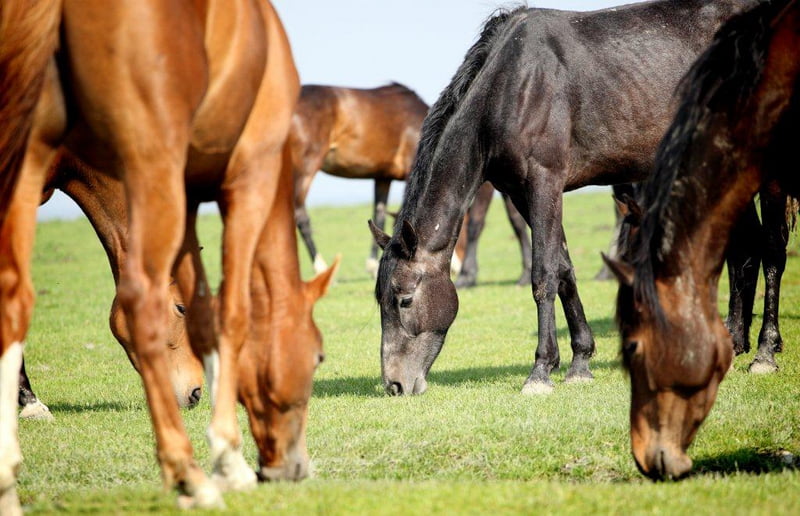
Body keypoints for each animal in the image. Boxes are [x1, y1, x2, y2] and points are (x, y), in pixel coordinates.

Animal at [0, 1, 338, 512]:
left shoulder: (189, 191)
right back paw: (190, 476)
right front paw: (228, 460)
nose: (195, 393)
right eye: (317, 356)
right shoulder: (247, 176)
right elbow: (230, 314)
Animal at [290, 83, 432, 278]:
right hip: (306, 166)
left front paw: (372, 265)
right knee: (300, 215)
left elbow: (379, 214)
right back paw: (321, 268)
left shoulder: (382, 177)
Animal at [368, 0, 756, 396]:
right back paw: (735, 342)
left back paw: (759, 353)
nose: (395, 384)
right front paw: (580, 361)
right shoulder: (522, 193)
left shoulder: (545, 183)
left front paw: (540, 370)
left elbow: (544, 276)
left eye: (404, 299)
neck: (513, 86)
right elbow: (565, 269)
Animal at [608, 0, 800, 482]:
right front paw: (736, 336)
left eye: (633, 348)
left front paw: (761, 351)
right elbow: (740, 253)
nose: (646, 457)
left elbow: (767, 250)